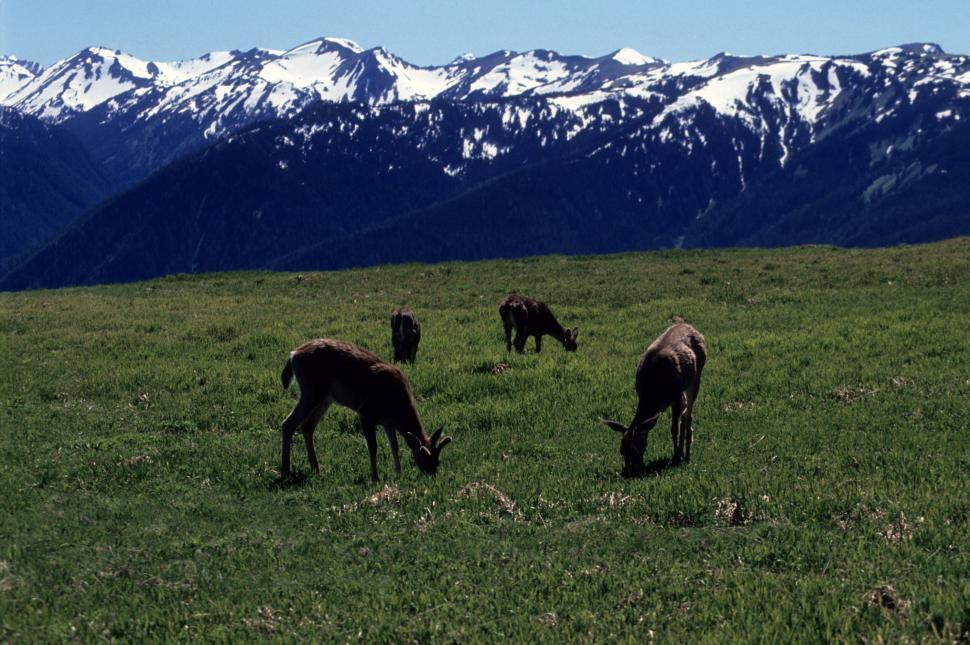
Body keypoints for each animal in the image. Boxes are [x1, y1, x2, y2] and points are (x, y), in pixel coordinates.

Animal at [279, 339, 451, 481]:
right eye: (425, 459)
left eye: (438, 461)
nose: (432, 476)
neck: (397, 406)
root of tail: (293, 354)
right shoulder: (366, 412)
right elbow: (373, 447)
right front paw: (375, 477)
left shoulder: (388, 423)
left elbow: (394, 447)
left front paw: (399, 474)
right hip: (311, 391)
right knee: (287, 423)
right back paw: (285, 472)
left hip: (325, 398)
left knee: (307, 427)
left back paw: (316, 468)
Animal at [600, 323, 707, 475]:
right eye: (621, 451)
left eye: (636, 448)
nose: (630, 472)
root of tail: (691, 327)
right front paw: (677, 454)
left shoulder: (676, 395)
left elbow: (673, 428)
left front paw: (675, 457)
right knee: (686, 412)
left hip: (696, 377)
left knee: (688, 414)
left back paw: (686, 455)